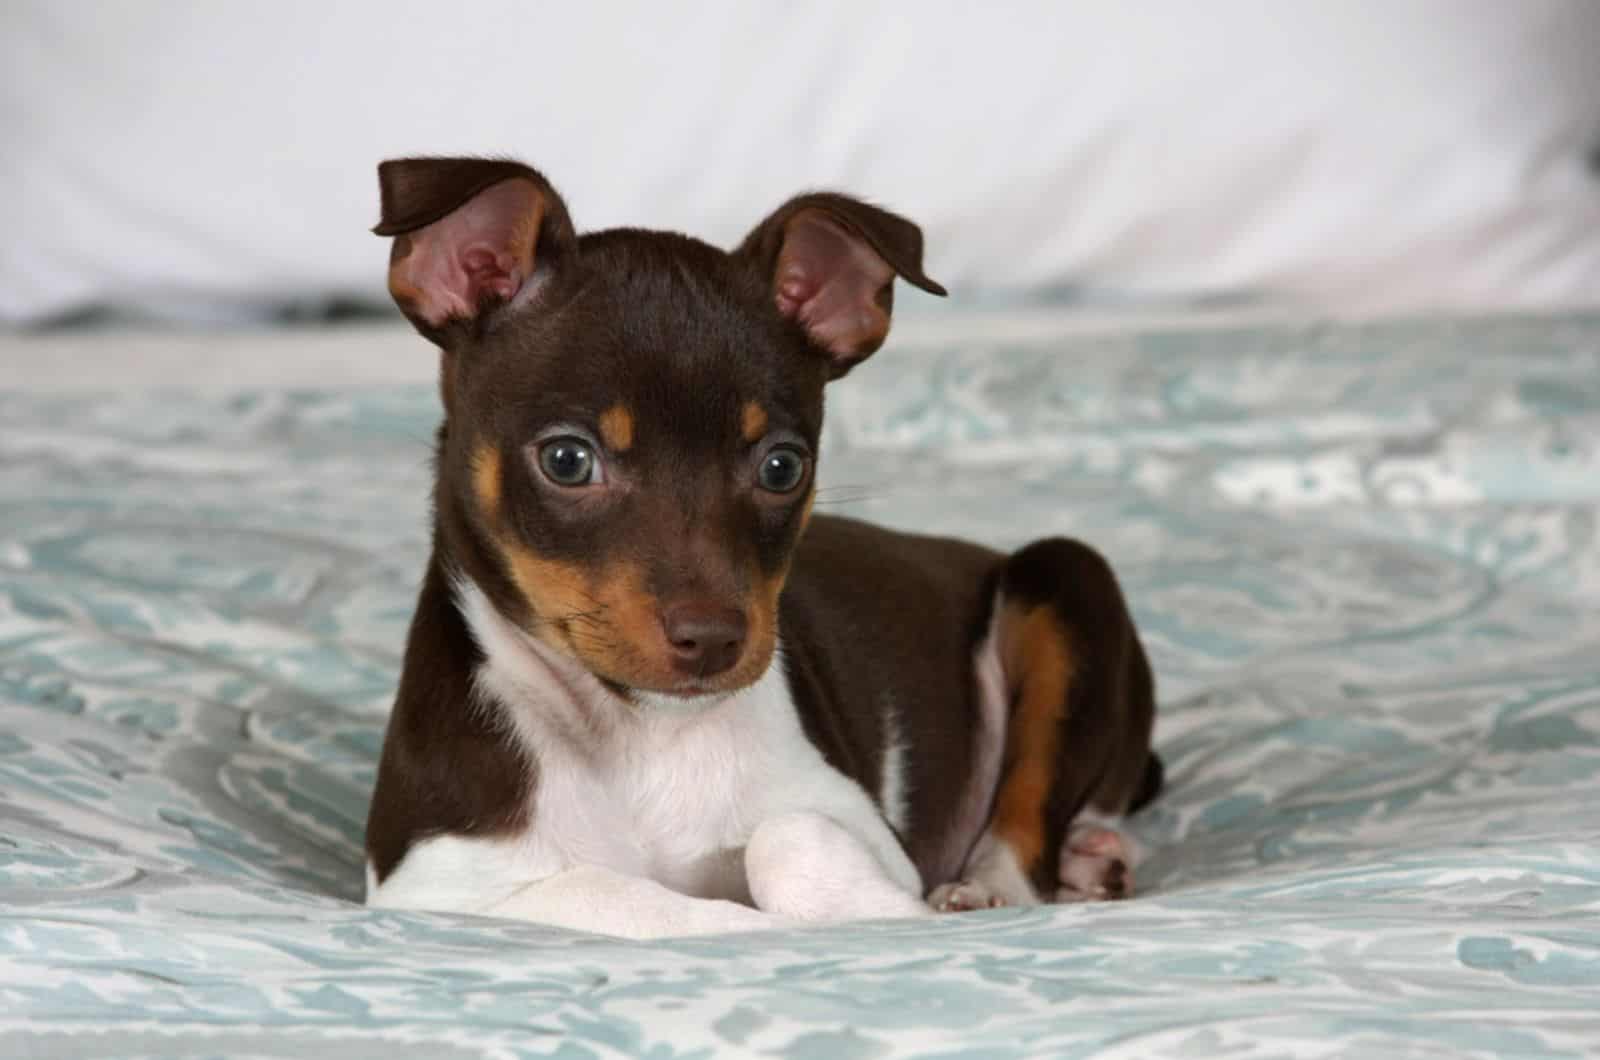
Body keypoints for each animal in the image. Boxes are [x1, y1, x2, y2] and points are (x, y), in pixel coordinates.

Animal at [363, 157, 1164, 941]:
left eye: (783, 466)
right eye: (567, 460)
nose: (715, 639)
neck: (635, 732)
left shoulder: (861, 825)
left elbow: (784, 839)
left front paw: (882, 913)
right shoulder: (435, 885)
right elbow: (629, 899)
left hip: (1065, 576)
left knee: (1028, 828)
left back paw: (1016, 882)